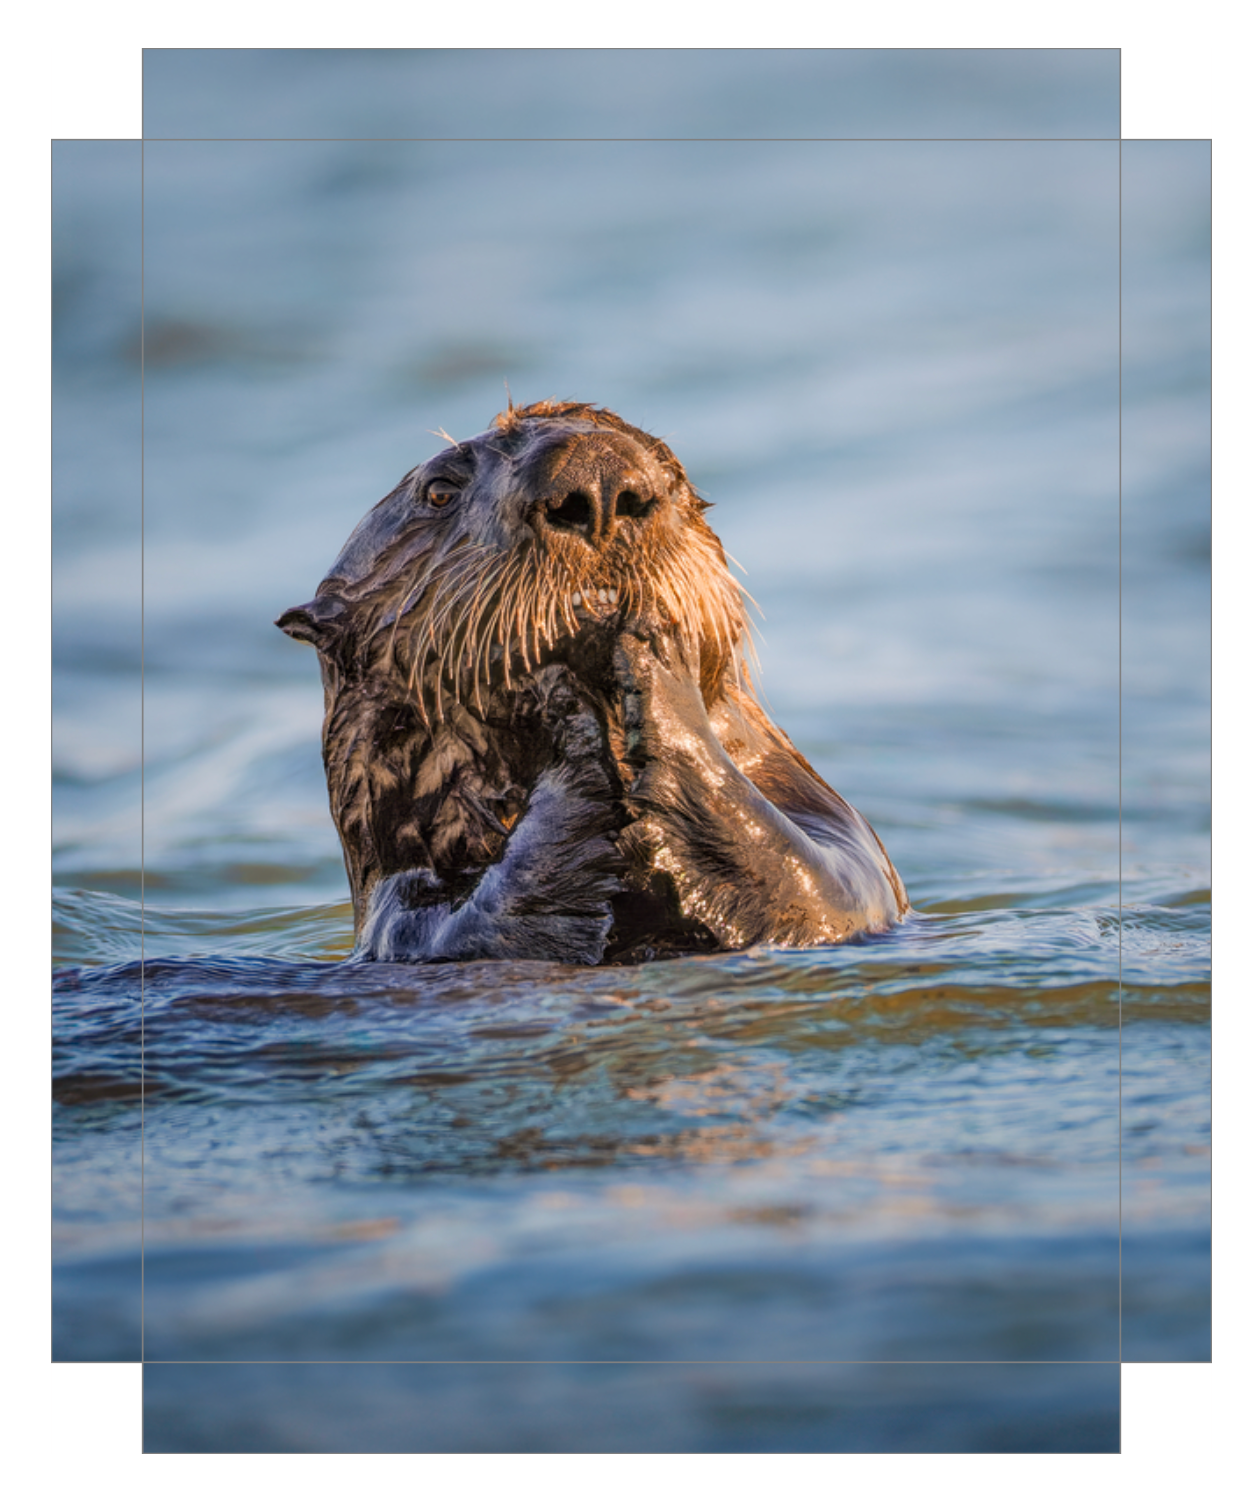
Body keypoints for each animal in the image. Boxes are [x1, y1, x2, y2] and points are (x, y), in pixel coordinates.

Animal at [278, 400, 908, 964]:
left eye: (670, 467)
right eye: (439, 491)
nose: (597, 477)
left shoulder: (827, 825)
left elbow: (831, 886)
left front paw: (653, 657)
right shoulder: (396, 909)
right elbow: (456, 931)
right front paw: (568, 724)